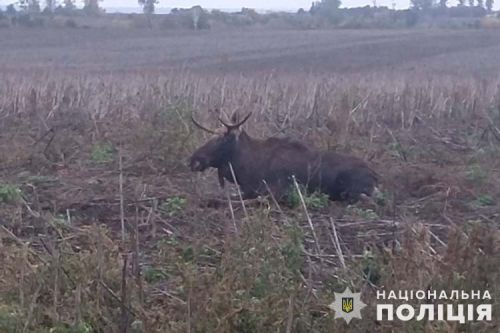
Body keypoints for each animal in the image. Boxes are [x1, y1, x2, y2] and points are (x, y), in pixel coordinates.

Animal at [189, 112, 376, 202]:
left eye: (223, 140)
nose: (193, 159)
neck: (246, 168)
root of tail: (376, 176)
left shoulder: (278, 190)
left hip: (352, 190)